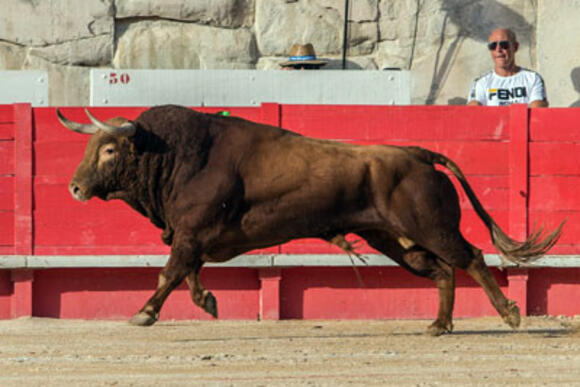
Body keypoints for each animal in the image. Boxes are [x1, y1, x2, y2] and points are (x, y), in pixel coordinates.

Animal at [57, 105, 560, 336]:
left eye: (108, 149)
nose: (75, 188)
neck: (176, 157)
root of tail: (418, 154)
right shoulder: (192, 236)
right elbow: (189, 274)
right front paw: (209, 303)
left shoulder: (189, 234)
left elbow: (170, 272)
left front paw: (143, 313)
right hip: (394, 239)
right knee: (440, 270)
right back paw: (439, 325)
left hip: (430, 226)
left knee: (469, 256)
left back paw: (510, 313)